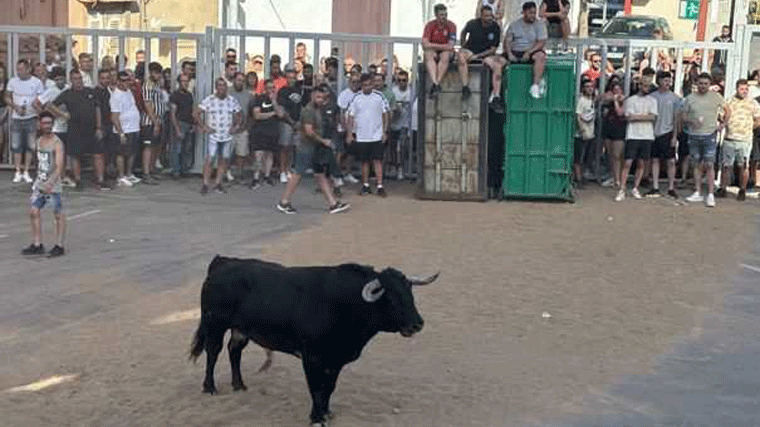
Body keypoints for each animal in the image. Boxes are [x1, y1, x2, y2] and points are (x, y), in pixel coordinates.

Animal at [189, 256, 440, 426]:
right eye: (390, 297)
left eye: (410, 292)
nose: (417, 324)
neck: (344, 305)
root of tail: (223, 262)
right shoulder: (312, 358)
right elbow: (316, 389)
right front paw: (316, 417)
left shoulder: (335, 360)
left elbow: (329, 388)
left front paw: (327, 413)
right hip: (215, 324)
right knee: (213, 352)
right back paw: (209, 388)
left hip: (240, 330)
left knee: (234, 351)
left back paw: (239, 385)